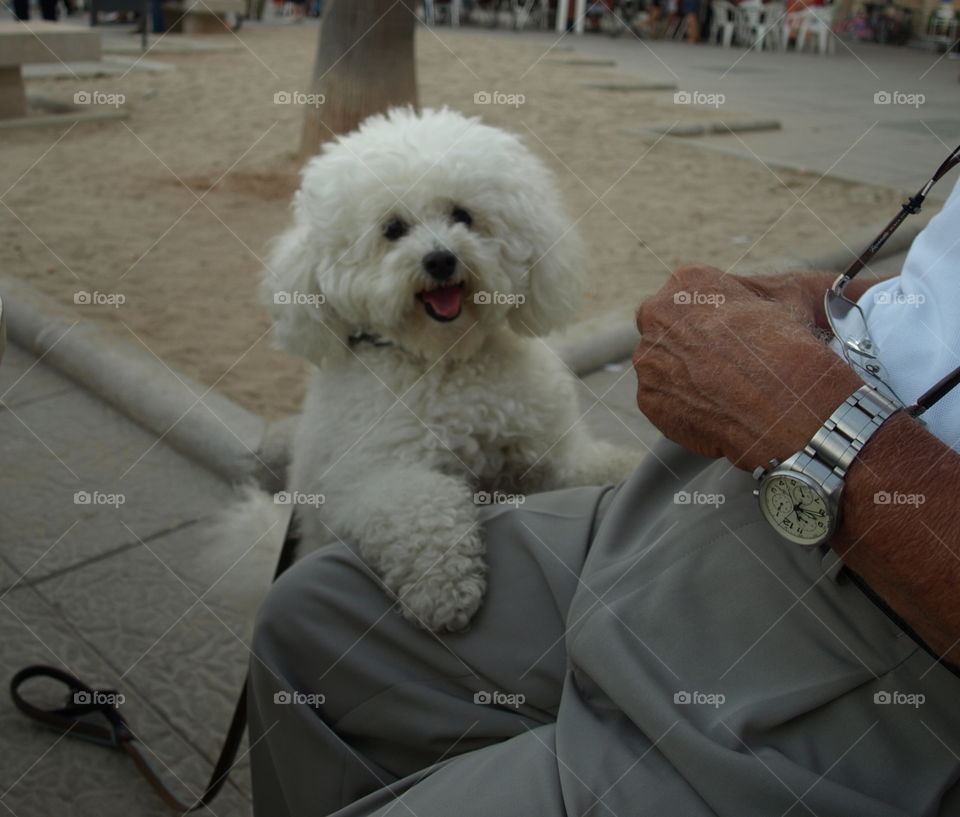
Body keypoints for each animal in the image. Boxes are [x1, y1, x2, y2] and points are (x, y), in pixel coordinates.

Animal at [249, 107, 636, 632]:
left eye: (462, 215)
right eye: (393, 228)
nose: (440, 259)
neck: (445, 361)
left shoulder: (544, 456)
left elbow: (583, 466)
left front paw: (632, 471)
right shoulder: (371, 479)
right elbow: (424, 507)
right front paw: (444, 588)